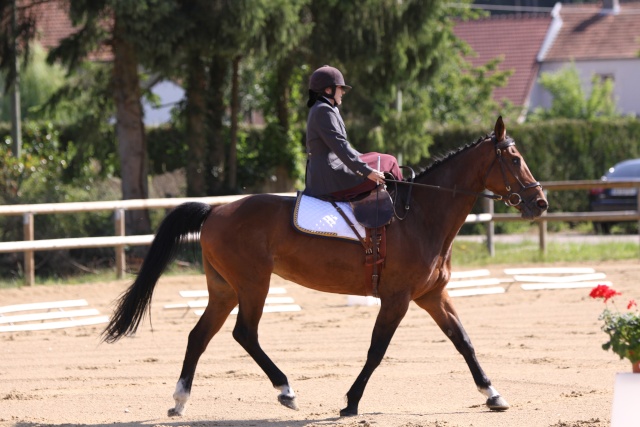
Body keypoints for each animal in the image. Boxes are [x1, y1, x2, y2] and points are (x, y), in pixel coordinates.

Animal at [102, 117, 548, 418]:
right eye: (514, 159)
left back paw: (180, 400)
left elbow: (464, 341)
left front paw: (492, 394)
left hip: (225, 288)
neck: (421, 214)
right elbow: (376, 350)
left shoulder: (432, 295)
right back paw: (285, 390)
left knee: (200, 335)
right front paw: (350, 402)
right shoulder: (398, 299)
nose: (540, 203)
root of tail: (215, 210)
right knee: (245, 333)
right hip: (253, 284)